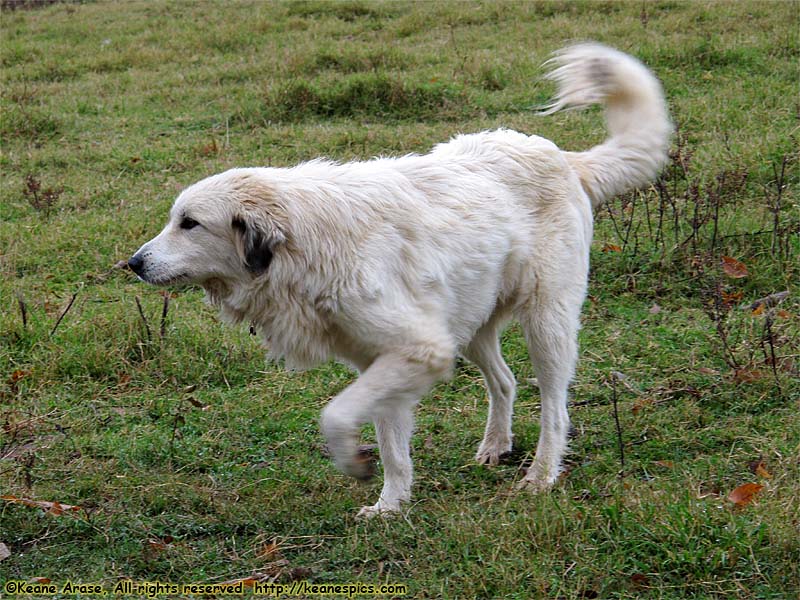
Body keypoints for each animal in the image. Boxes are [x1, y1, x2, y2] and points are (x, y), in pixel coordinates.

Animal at [130, 44, 668, 516]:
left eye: (189, 223)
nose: (133, 263)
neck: (304, 242)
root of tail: (561, 156)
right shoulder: (391, 356)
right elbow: (392, 446)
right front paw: (392, 505)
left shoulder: (415, 350)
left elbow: (336, 413)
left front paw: (355, 464)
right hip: (468, 325)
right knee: (505, 380)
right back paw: (496, 445)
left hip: (545, 323)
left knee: (554, 406)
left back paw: (541, 474)